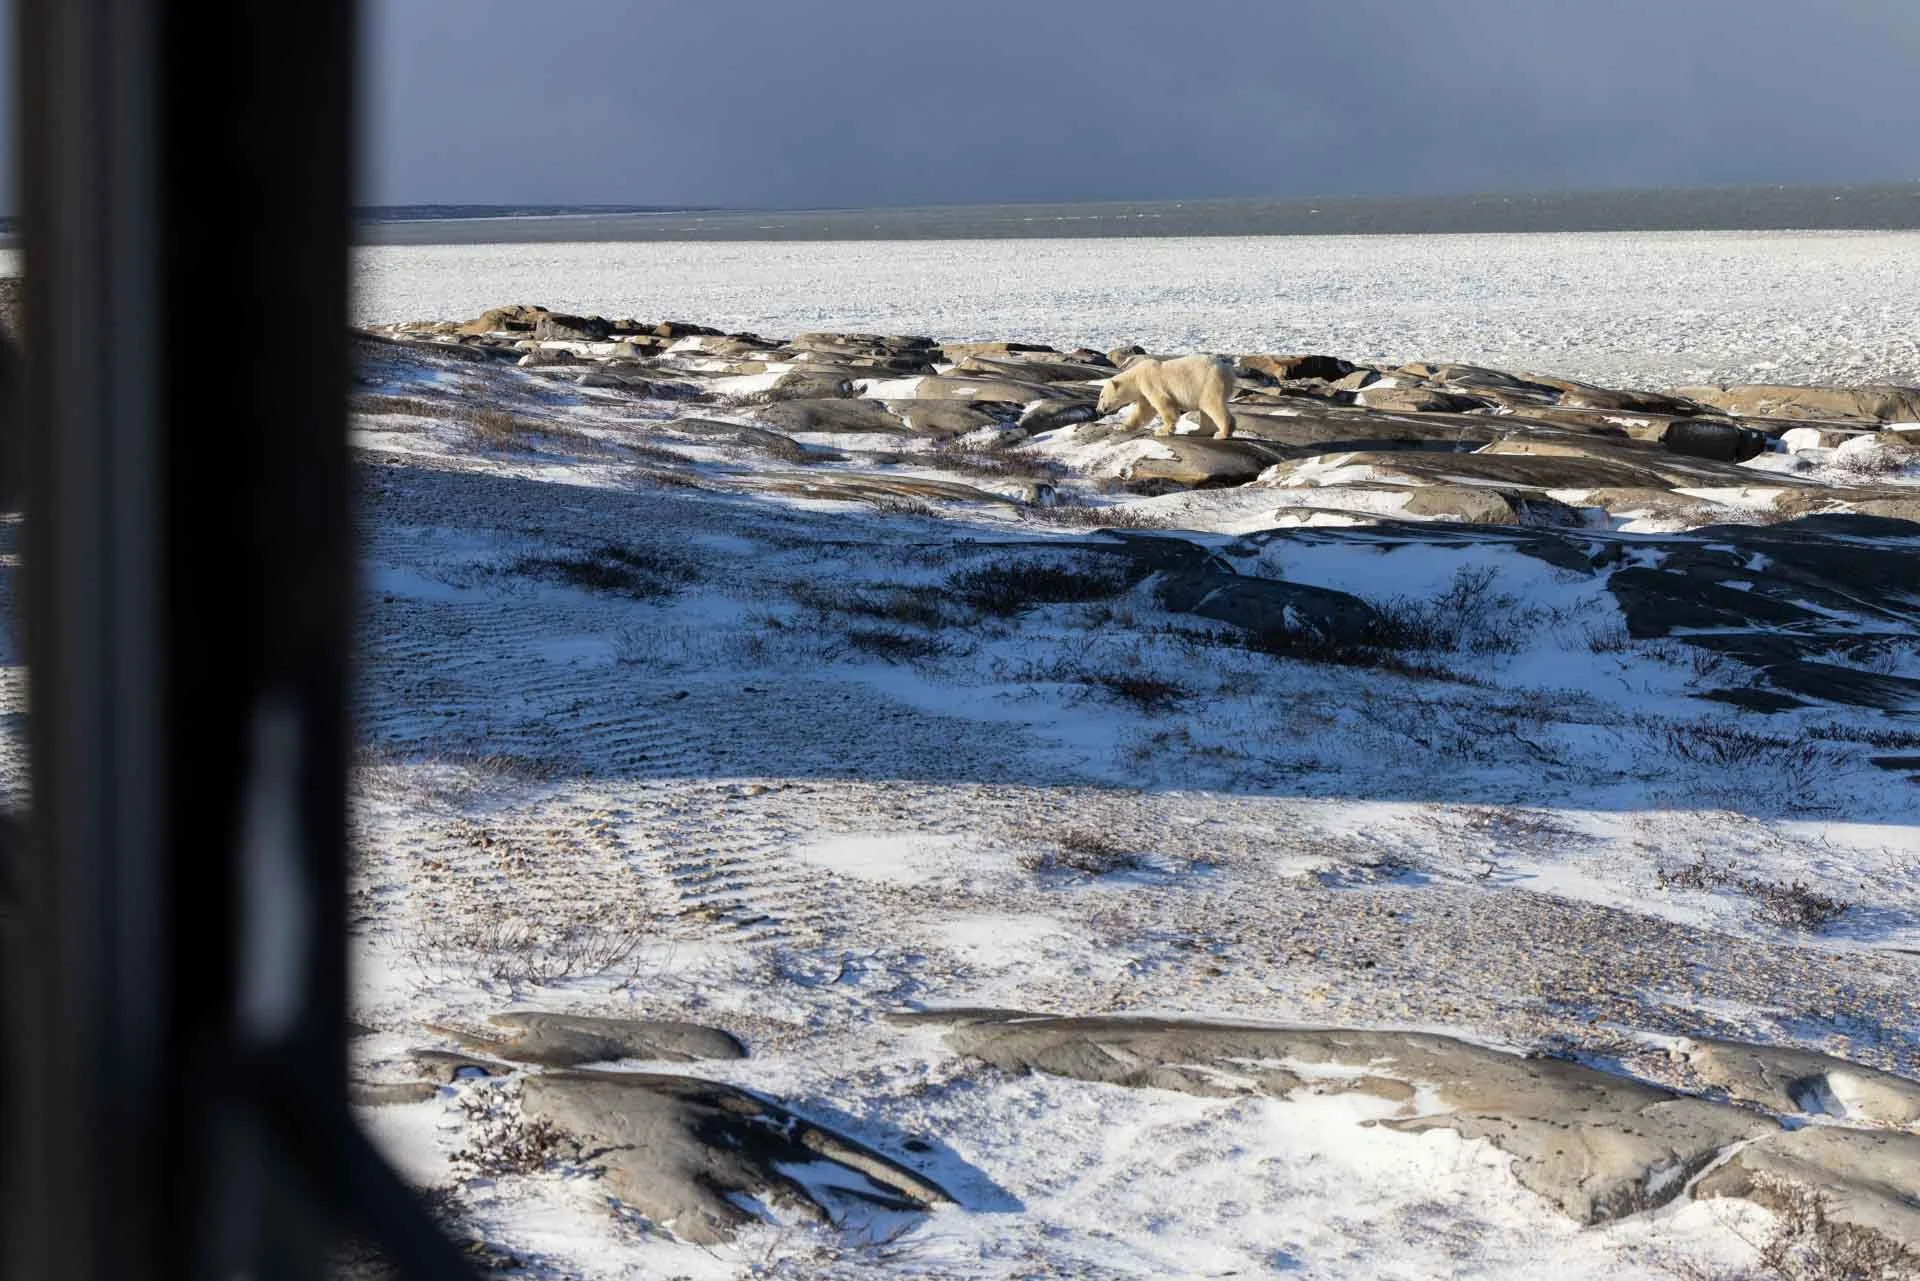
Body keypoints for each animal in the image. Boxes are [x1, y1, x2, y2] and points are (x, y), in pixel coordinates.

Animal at [1094, 353, 1237, 440]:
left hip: (1210, 382)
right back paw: (1197, 431)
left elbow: (1163, 403)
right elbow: (1144, 411)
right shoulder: (1143, 392)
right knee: (1205, 409)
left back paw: (1222, 433)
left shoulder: (1150, 381)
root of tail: (1229, 372)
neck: (1136, 376)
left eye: (1101, 396)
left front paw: (1163, 431)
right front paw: (1121, 427)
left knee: (1212, 404)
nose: (1098, 410)